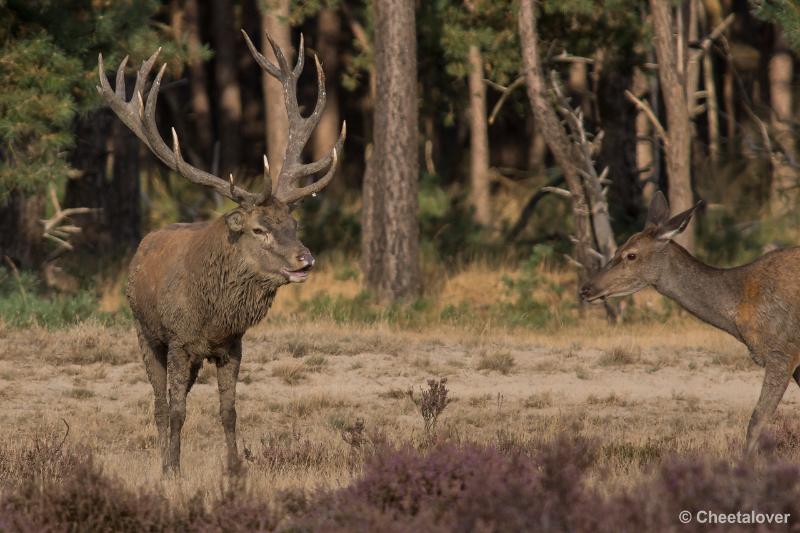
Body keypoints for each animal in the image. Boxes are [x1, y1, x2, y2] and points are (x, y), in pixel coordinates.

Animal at [97, 32, 344, 474]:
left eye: (294, 224)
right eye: (259, 229)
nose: (306, 259)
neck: (212, 317)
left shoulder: (232, 346)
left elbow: (229, 411)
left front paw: (234, 469)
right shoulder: (179, 341)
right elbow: (177, 411)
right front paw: (173, 471)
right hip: (144, 331)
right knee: (159, 405)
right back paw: (162, 461)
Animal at [580, 193, 800, 456]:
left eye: (631, 254)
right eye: (617, 249)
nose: (586, 289)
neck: (737, 309)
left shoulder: (783, 352)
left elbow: (757, 420)